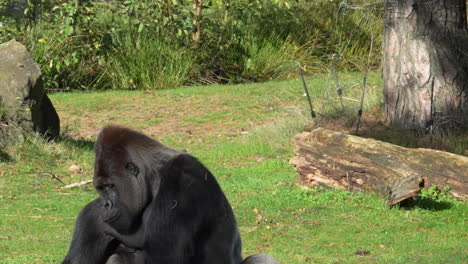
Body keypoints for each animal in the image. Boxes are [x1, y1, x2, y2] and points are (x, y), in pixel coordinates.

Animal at [61, 126, 278, 264]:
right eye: (100, 188)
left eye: (111, 187)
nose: (106, 204)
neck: (153, 179)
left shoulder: (182, 180)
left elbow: (164, 258)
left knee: (261, 258)